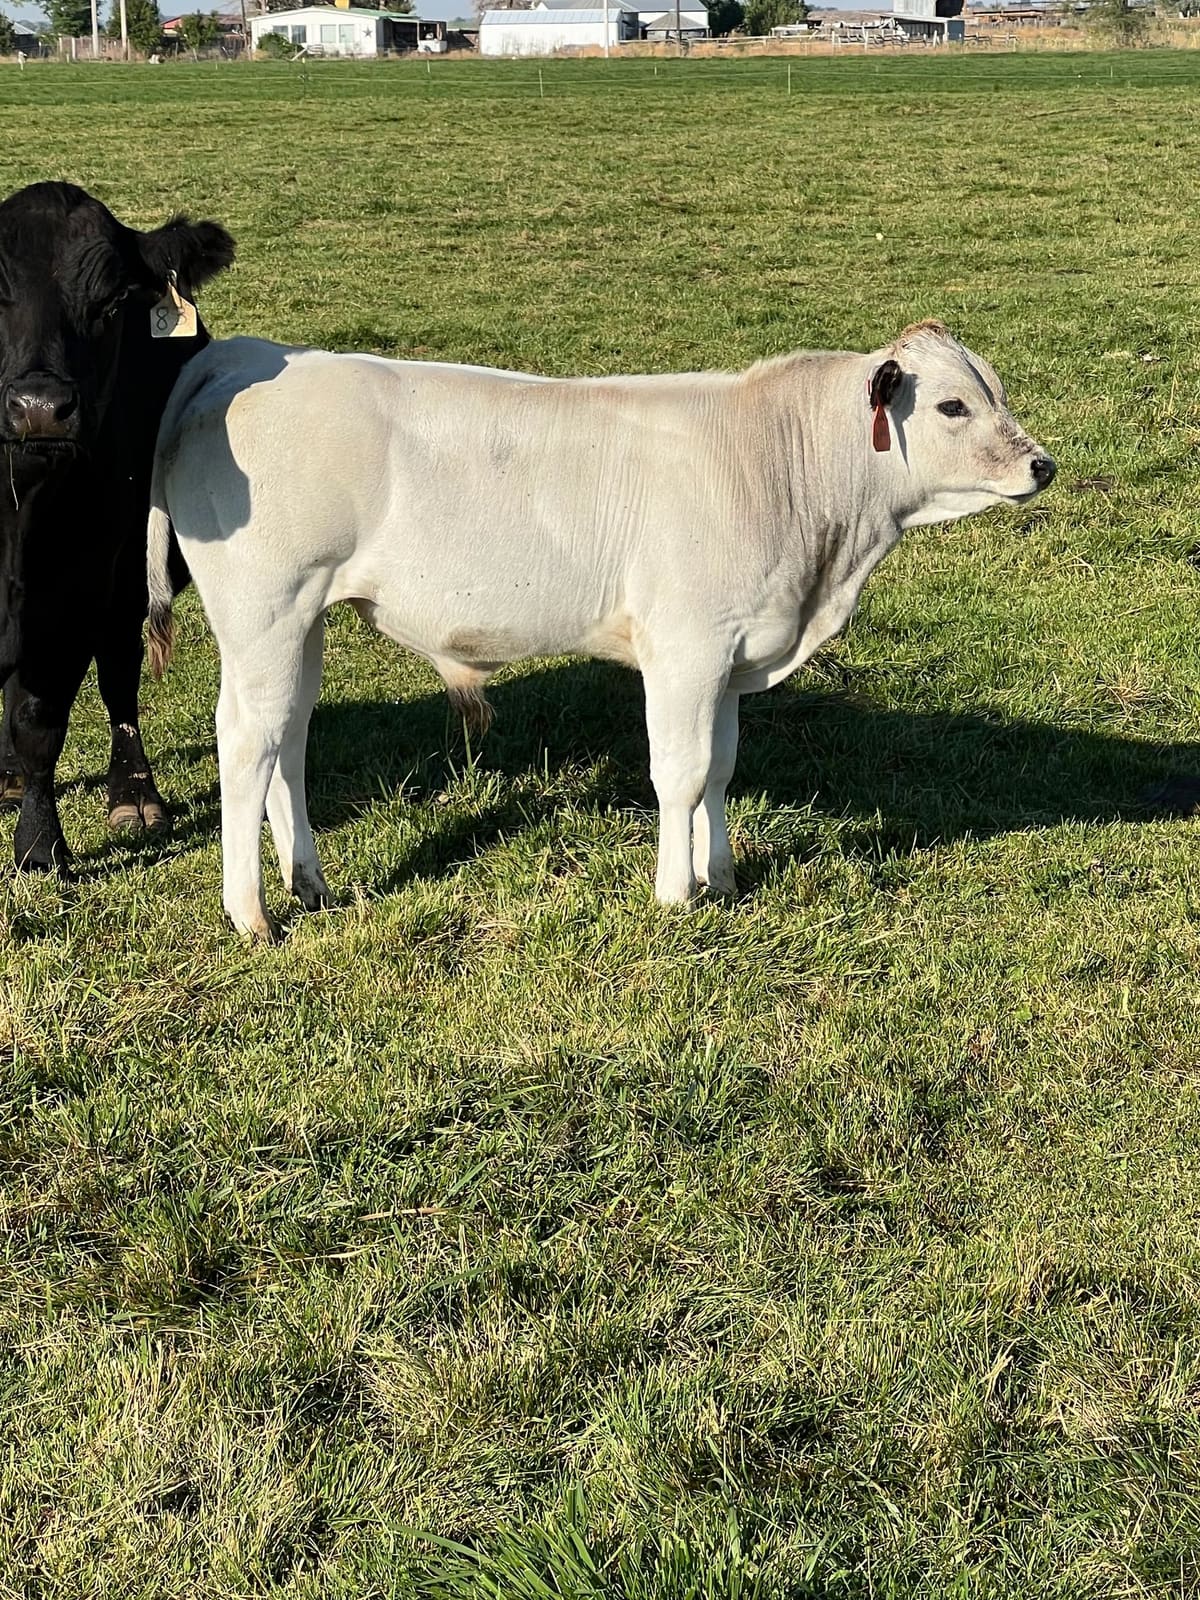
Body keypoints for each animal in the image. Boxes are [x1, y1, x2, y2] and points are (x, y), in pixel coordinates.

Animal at [0, 181, 234, 874]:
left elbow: (41, 714)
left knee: (117, 674)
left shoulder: (79, 577)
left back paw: (135, 794)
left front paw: (40, 846)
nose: (40, 409)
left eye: (111, 303)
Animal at [146, 321, 1055, 940]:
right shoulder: (685, 648)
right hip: (264, 610)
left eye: (998, 392)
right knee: (247, 740)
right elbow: (680, 775)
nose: (1042, 465)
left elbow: (720, 770)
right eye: (951, 404)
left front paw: (722, 879)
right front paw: (674, 895)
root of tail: (249, 354)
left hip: (301, 620)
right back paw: (251, 913)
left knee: (288, 737)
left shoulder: (730, 655)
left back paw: (310, 884)